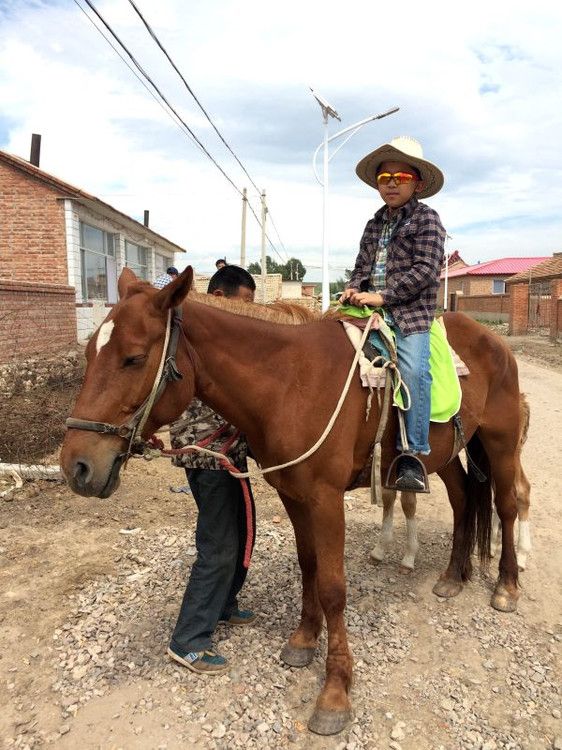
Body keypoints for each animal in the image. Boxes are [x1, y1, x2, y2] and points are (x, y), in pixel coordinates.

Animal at [61, 268, 524, 736]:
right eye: (90, 352)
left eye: (134, 358)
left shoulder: (326, 499)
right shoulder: (294, 495)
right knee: (464, 499)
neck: (290, 383)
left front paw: (335, 693)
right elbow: (309, 566)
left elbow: (333, 587)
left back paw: (506, 586)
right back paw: (453, 575)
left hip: (501, 444)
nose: (76, 466)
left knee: (507, 505)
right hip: (443, 453)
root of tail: (494, 340)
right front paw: (303, 640)